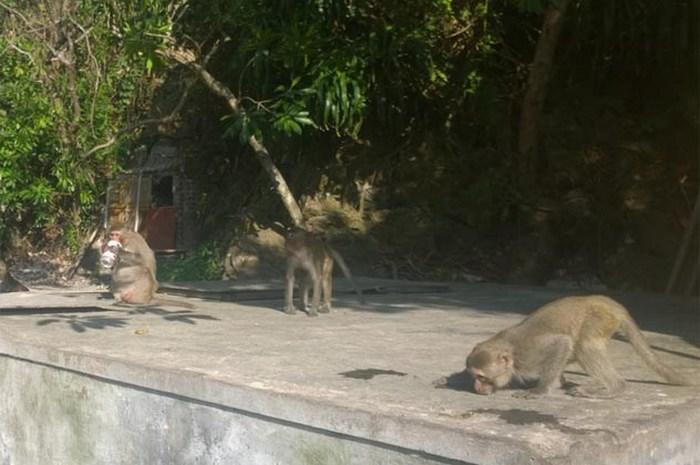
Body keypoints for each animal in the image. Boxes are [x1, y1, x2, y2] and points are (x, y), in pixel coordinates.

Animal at [464, 296, 688, 396]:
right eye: (473, 376)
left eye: (481, 377)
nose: (476, 387)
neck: (511, 353)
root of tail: (609, 302)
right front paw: (557, 383)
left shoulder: (528, 355)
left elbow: (561, 343)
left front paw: (542, 389)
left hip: (600, 319)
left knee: (584, 346)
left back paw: (614, 387)